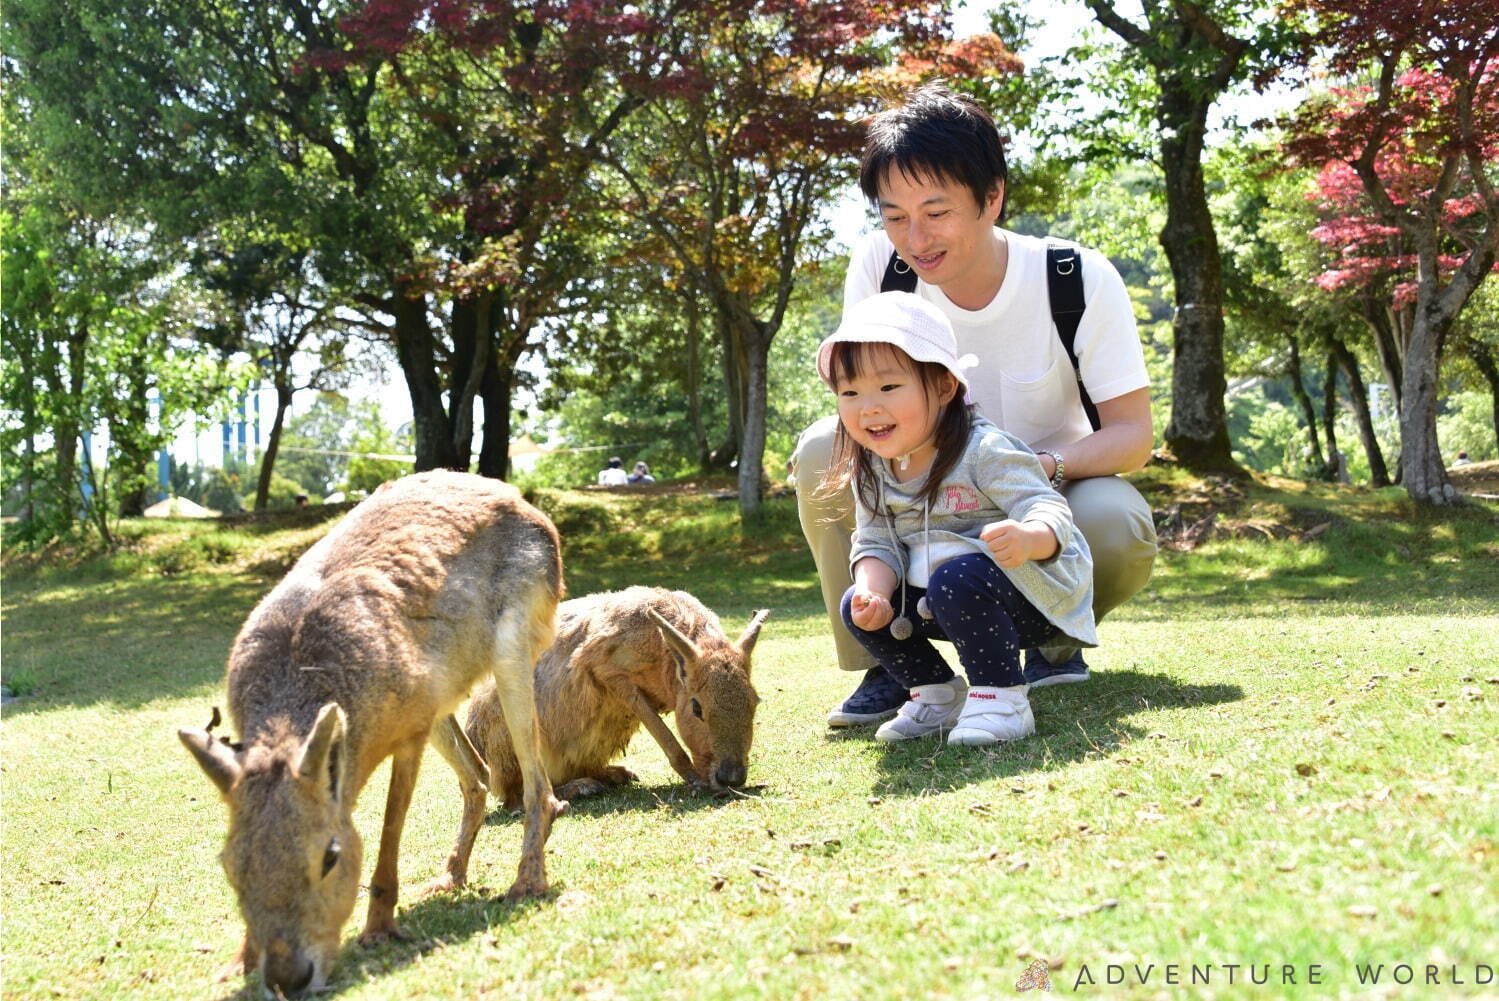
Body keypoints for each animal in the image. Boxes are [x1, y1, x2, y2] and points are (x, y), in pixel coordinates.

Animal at [178, 473, 563, 995]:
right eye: (230, 867)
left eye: (330, 857)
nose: (289, 979)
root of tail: (518, 498)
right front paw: (240, 961)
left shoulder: (410, 738)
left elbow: (387, 836)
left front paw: (378, 929)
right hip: (442, 700)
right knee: (479, 777)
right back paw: (449, 878)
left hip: (510, 657)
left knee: (538, 787)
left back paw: (526, 883)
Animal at [431, 587, 761, 893]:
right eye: (697, 708)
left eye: (755, 701)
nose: (731, 778)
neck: (663, 652)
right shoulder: (611, 673)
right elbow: (667, 739)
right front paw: (695, 780)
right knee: (516, 796)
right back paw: (580, 788)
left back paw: (610, 775)